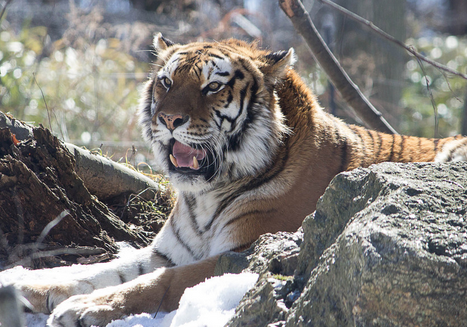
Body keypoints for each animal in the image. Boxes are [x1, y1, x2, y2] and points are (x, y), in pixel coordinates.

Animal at [4, 34, 467, 326]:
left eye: (211, 87)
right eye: (166, 81)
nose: (168, 119)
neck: (204, 194)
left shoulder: (243, 253)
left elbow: (158, 283)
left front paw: (84, 308)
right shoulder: (168, 251)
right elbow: (107, 268)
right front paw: (26, 282)